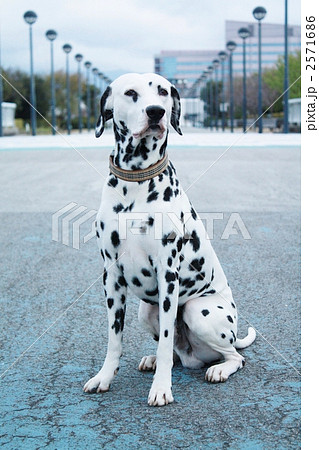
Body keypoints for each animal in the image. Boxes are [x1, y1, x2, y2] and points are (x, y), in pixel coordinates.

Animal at [83, 72, 258, 406]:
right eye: (130, 93)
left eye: (163, 91)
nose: (156, 112)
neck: (136, 182)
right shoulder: (112, 277)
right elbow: (114, 339)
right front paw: (104, 377)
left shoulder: (168, 274)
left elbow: (165, 342)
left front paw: (161, 388)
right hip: (145, 310)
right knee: (178, 354)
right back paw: (153, 360)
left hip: (198, 311)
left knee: (234, 357)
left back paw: (219, 369)